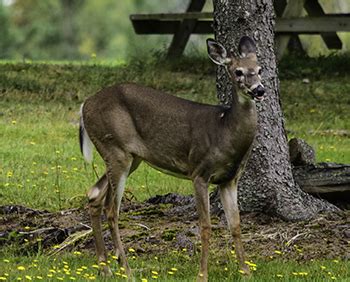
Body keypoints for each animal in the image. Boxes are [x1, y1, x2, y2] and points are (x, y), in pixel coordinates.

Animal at [79, 36, 266, 280]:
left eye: (260, 69)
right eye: (238, 72)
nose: (259, 89)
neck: (224, 130)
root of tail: (84, 106)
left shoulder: (230, 179)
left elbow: (235, 224)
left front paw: (246, 273)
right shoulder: (199, 171)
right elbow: (206, 226)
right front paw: (202, 275)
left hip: (130, 157)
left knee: (94, 194)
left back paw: (105, 268)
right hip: (115, 149)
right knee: (112, 210)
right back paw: (127, 270)